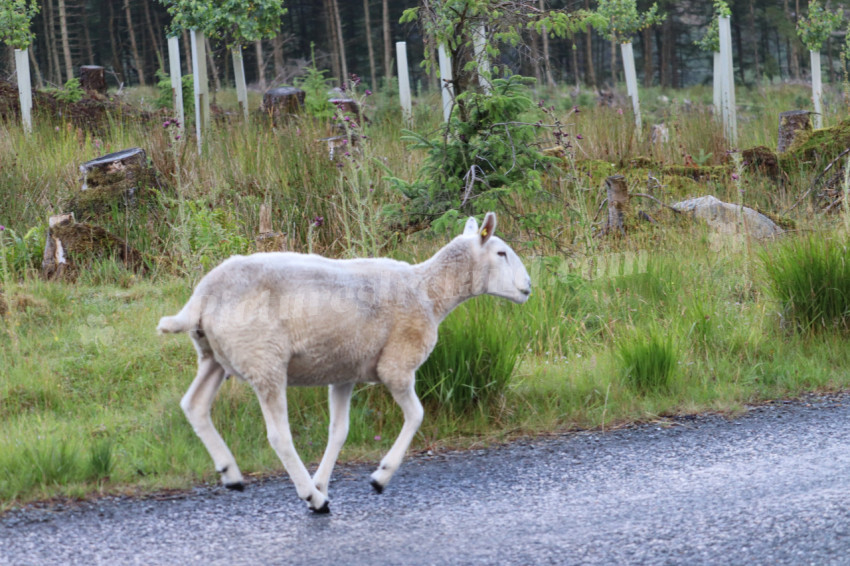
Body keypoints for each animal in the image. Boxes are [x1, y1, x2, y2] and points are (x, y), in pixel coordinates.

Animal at [157, 211, 531, 513]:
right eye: (501, 253)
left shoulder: (344, 371)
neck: (428, 291)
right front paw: (379, 477)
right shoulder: (397, 365)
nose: (528, 287)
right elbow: (416, 415)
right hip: (265, 360)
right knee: (278, 436)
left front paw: (323, 481)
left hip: (213, 356)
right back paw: (311, 497)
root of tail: (202, 295)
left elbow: (338, 432)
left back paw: (232, 474)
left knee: (194, 405)